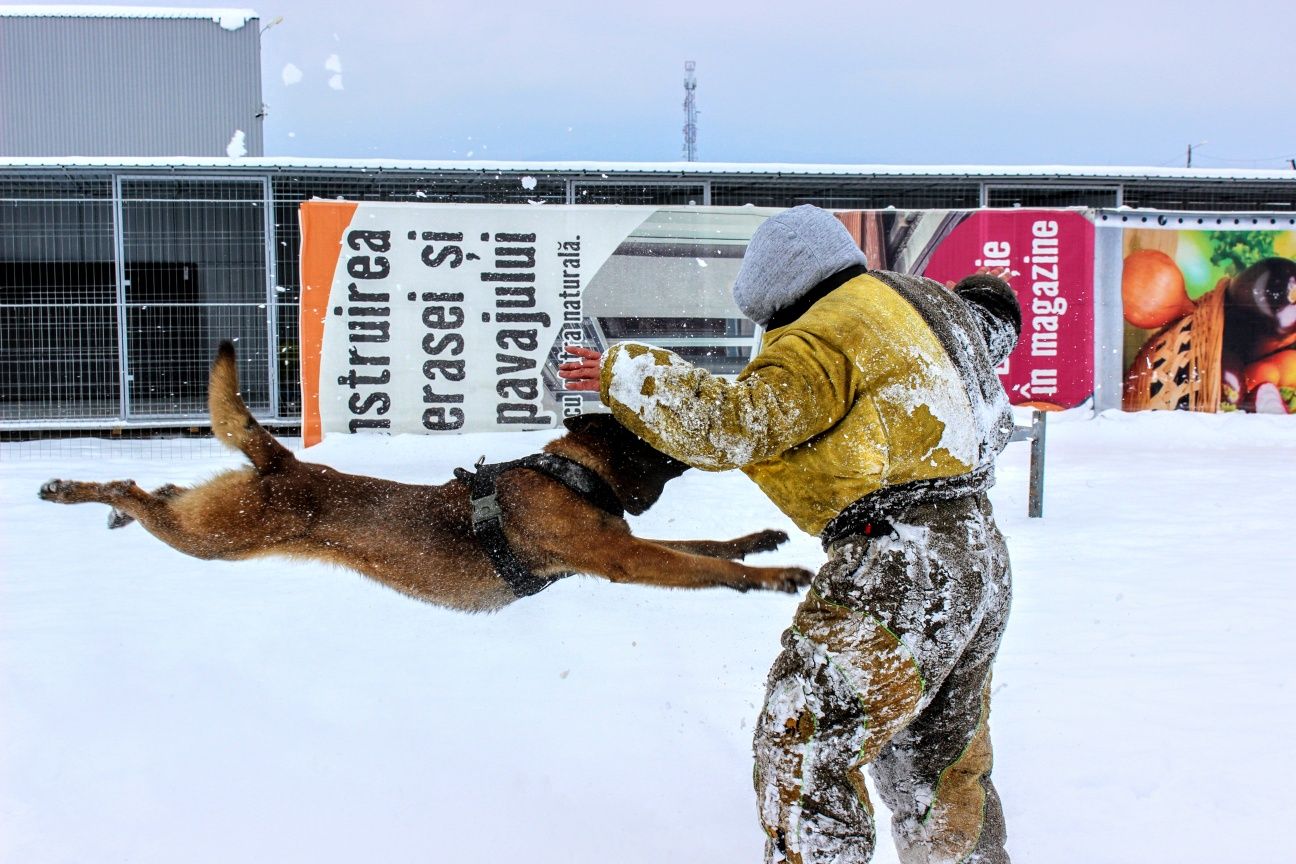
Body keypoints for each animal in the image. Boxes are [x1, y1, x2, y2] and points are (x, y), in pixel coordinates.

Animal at [40, 341, 808, 611]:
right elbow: (701, 565)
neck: (571, 471)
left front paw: (761, 541)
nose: (705, 426)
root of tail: (286, 462)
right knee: (133, 491)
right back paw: (73, 491)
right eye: (648, 427)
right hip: (213, 539)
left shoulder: (615, 545)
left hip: (213, 520)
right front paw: (772, 578)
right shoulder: (618, 556)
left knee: (162, 493)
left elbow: (707, 546)